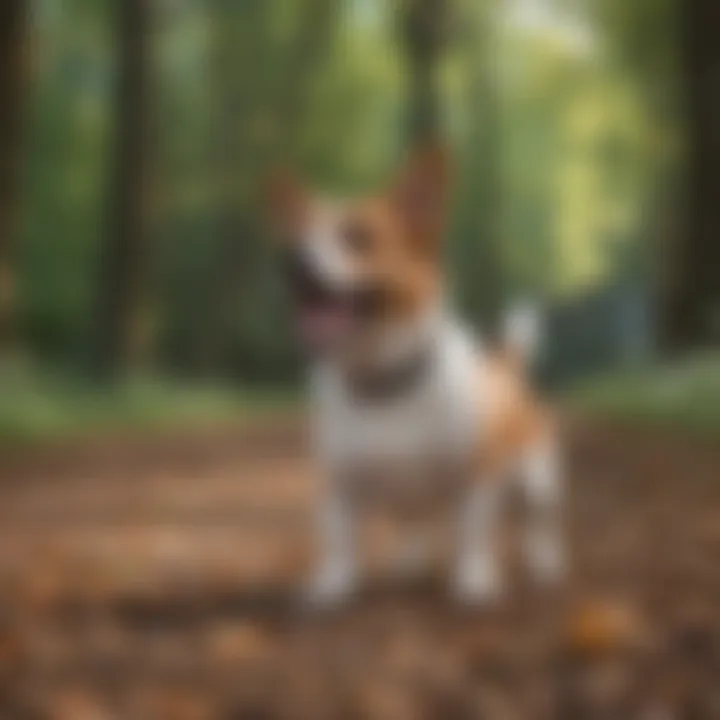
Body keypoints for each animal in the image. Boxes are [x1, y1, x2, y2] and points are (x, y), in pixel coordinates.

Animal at [268, 145, 564, 600]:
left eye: (358, 235)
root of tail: (505, 367)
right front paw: (333, 586)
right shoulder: (340, 486)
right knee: (415, 526)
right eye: (297, 236)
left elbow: (473, 533)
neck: (385, 383)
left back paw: (544, 562)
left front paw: (474, 580)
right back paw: (410, 561)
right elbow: (339, 541)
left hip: (537, 481)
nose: (292, 262)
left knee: (538, 525)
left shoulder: (476, 478)